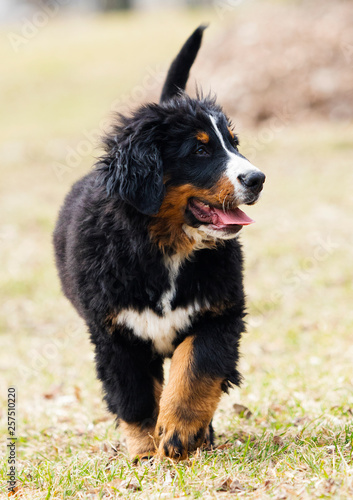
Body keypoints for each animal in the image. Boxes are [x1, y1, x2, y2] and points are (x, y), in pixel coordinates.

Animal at [53, 25, 264, 458]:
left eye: (234, 143)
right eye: (200, 149)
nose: (258, 179)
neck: (166, 250)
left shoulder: (219, 313)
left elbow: (195, 370)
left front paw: (181, 431)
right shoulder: (115, 334)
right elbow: (135, 397)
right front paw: (146, 449)